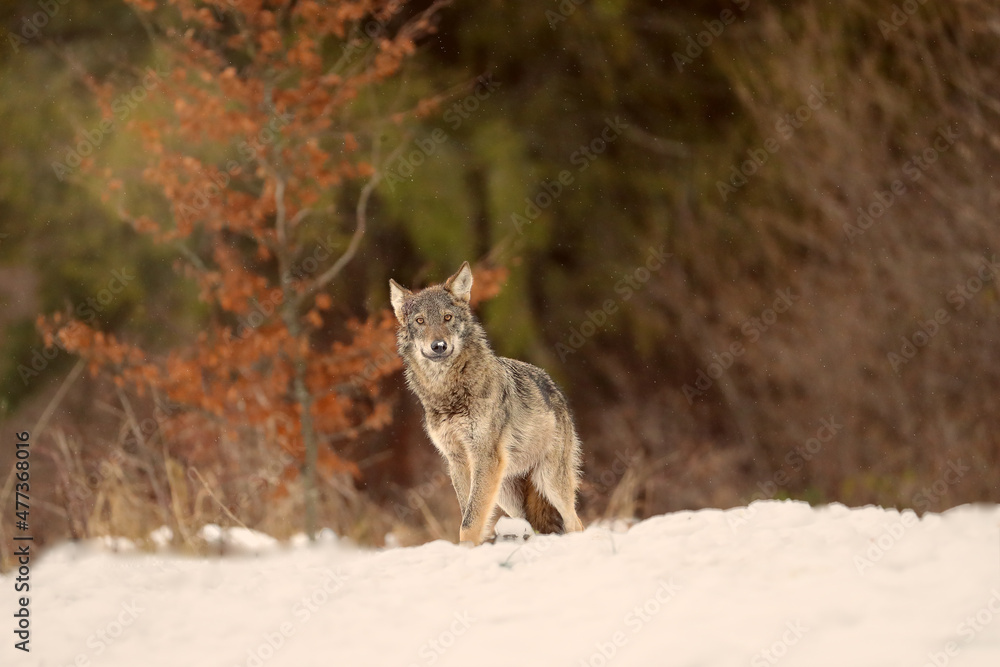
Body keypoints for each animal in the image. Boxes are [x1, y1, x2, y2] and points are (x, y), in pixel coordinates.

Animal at [389, 262, 584, 545]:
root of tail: (556, 389)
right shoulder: (458, 461)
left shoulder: (483, 456)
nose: (439, 346)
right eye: (420, 320)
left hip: (549, 482)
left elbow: (469, 522)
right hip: (507, 494)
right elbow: (467, 513)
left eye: (447, 318)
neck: (447, 393)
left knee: (575, 522)